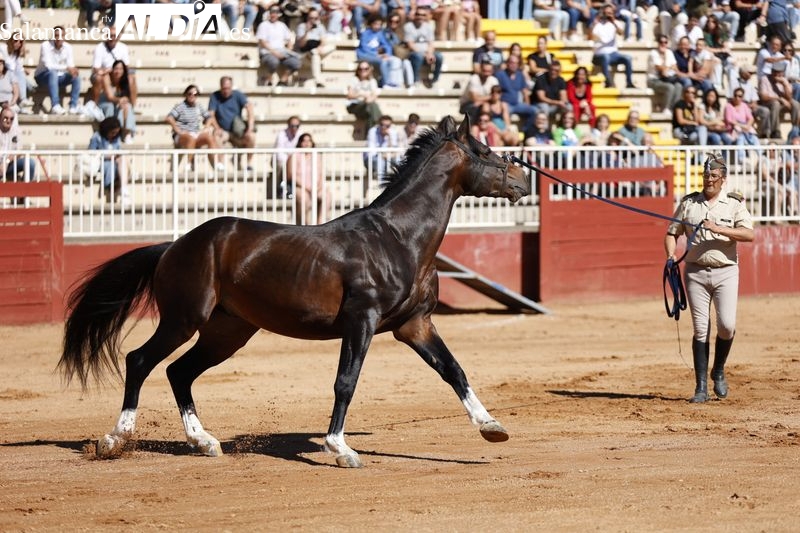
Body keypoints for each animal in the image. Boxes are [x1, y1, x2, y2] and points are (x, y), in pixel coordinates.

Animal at [58, 115, 531, 468]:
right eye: (485, 151)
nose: (523, 180)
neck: (397, 238)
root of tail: (173, 246)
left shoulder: (414, 325)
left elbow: (454, 370)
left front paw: (492, 428)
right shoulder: (362, 320)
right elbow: (346, 382)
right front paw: (340, 448)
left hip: (227, 332)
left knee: (179, 372)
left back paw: (204, 441)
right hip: (183, 319)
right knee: (140, 361)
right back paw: (115, 439)